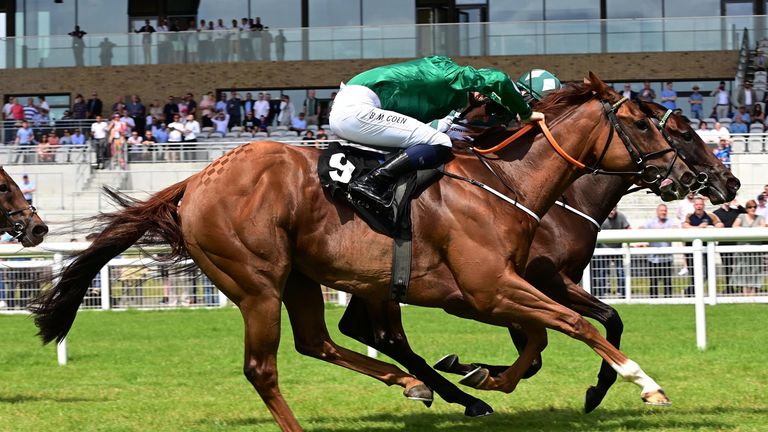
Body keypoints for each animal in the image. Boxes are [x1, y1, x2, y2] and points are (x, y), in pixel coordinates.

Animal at [33, 75, 696, 432]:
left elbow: (541, 337)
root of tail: (195, 180)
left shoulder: (488, 290)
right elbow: (574, 325)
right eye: (649, 124)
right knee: (265, 367)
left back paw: (416, 385)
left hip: (301, 277)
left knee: (320, 342)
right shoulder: (485, 287)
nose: (699, 180)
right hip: (256, 283)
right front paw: (645, 383)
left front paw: (482, 376)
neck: (505, 180)